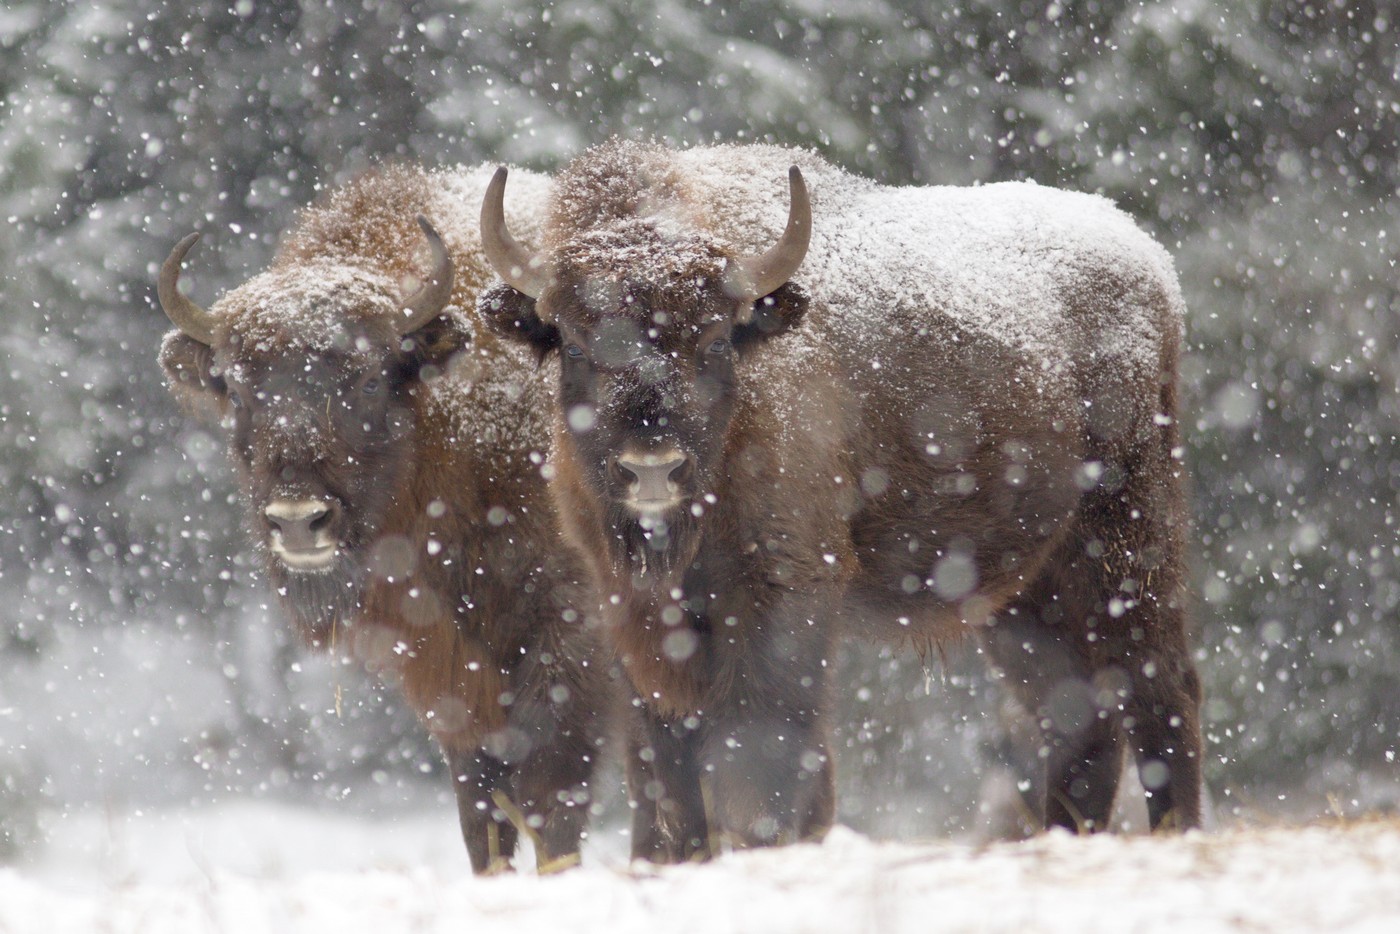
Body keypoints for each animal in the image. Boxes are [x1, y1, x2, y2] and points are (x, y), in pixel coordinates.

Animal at [157, 168, 607, 879]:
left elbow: (551, 800)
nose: (298, 522)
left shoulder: (570, 649)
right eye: (235, 387)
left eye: (368, 378)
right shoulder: (450, 681)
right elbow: (481, 810)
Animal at [478, 140, 1204, 862]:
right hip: (1026, 594)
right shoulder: (631, 612)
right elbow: (669, 781)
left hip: (1128, 542)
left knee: (1159, 690)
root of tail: (1148, 258)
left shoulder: (784, 592)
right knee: (1077, 713)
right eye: (575, 342)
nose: (651, 465)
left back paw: (1181, 830)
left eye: (713, 338)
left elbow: (759, 760)